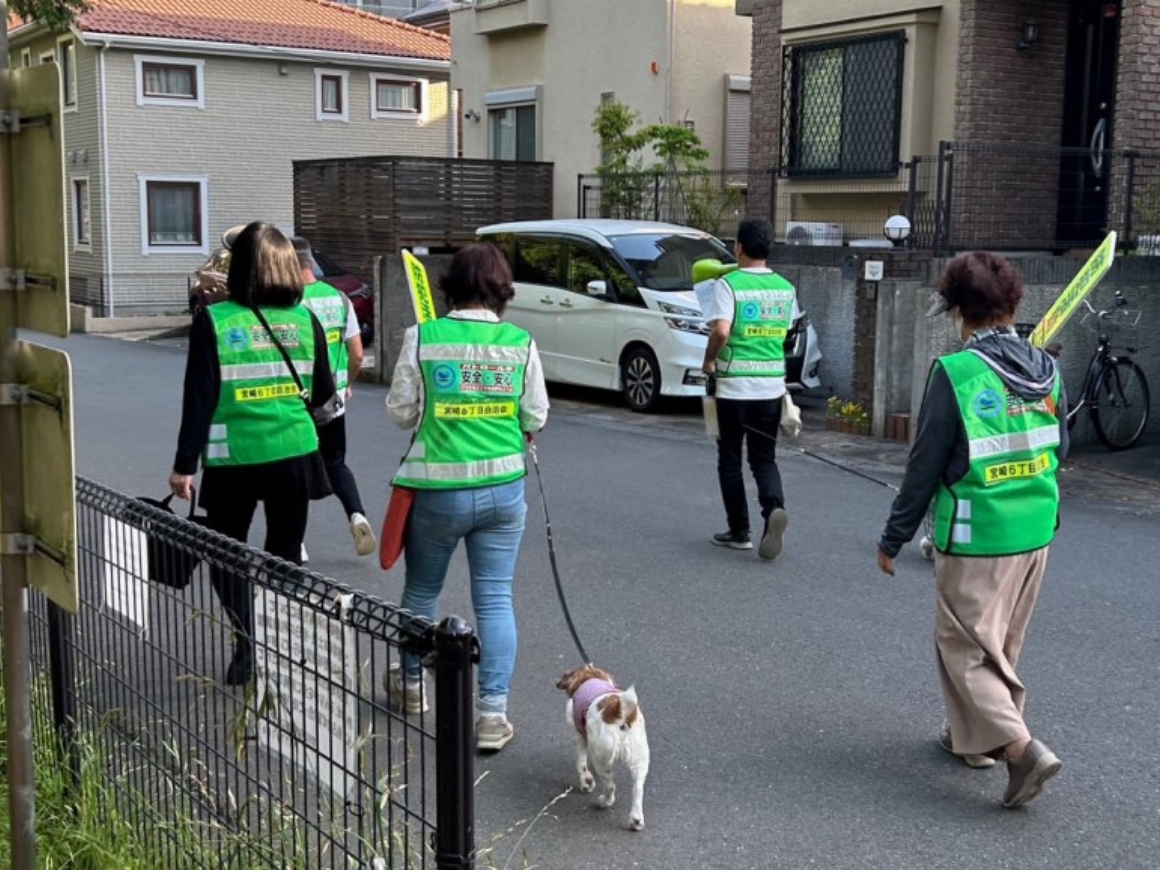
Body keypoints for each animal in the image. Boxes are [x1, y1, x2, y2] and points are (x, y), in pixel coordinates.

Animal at [554, 668, 649, 830]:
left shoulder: (578, 736)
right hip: (639, 759)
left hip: (602, 759)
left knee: (610, 786)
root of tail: (619, 712)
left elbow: (581, 764)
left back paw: (604, 801)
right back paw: (636, 820)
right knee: (638, 789)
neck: (590, 677)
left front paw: (586, 783)